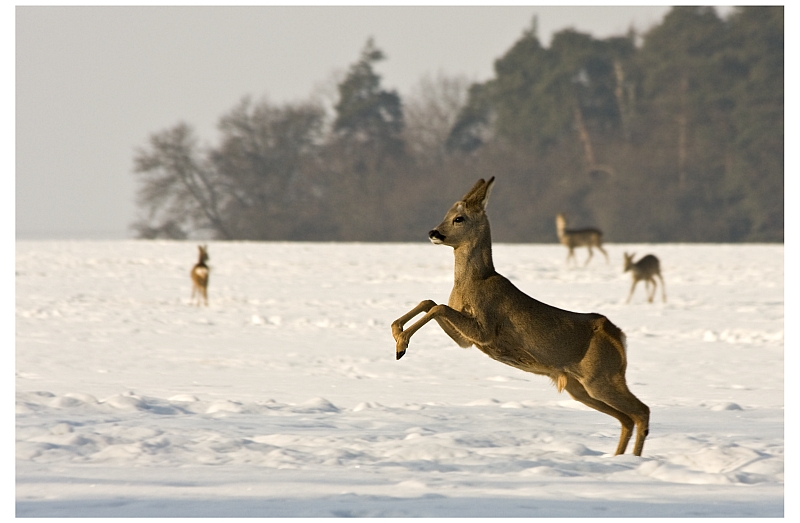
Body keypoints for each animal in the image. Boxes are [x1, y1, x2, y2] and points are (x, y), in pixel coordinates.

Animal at [394, 178, 648, 456]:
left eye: (459, 218)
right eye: (446, 213)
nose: (434, 233)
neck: (474, 282)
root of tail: (619, 336)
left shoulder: (485, 328)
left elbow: (438, 306)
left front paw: (401, 345)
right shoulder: (467, 340)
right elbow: (429, 302)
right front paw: (396, 333)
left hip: (602, 377)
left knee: (641, 411)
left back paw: (632, 459)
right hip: (579, 387)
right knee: (626, 418)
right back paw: (617, 458)